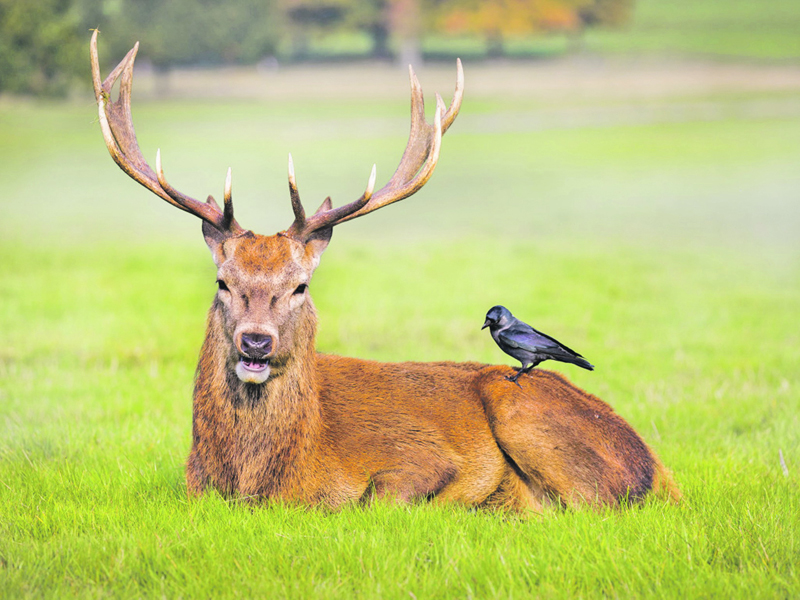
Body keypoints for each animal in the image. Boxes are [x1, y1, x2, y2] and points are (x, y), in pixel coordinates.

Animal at [92, 31, 680, 510]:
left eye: (301, 286)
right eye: (222, 282)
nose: (255, 341)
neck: (270, 481)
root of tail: (658, 469)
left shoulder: (426, 456)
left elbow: (384, 496)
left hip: (522, 408)